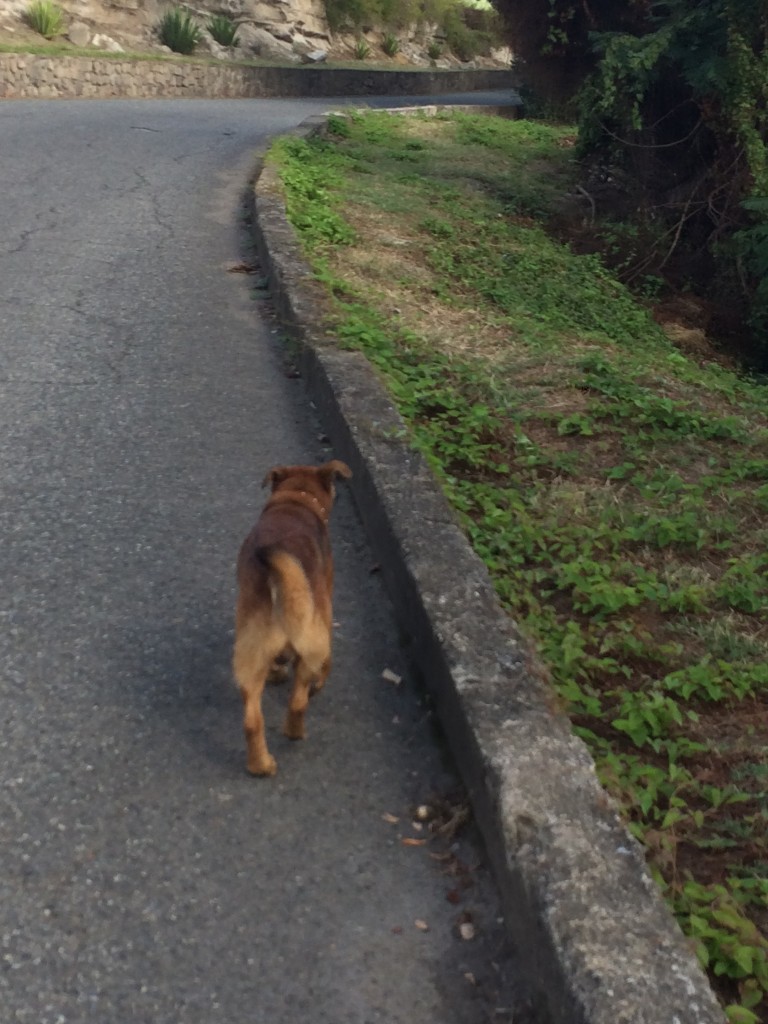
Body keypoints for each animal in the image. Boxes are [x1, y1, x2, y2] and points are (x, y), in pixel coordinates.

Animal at [233, 460, 354, 770]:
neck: (297, 499)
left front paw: (278, 671)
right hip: (315, 636)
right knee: (299, 700)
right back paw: (295, 731)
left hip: (251, 651)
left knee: (252, 720)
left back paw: (261, 766)